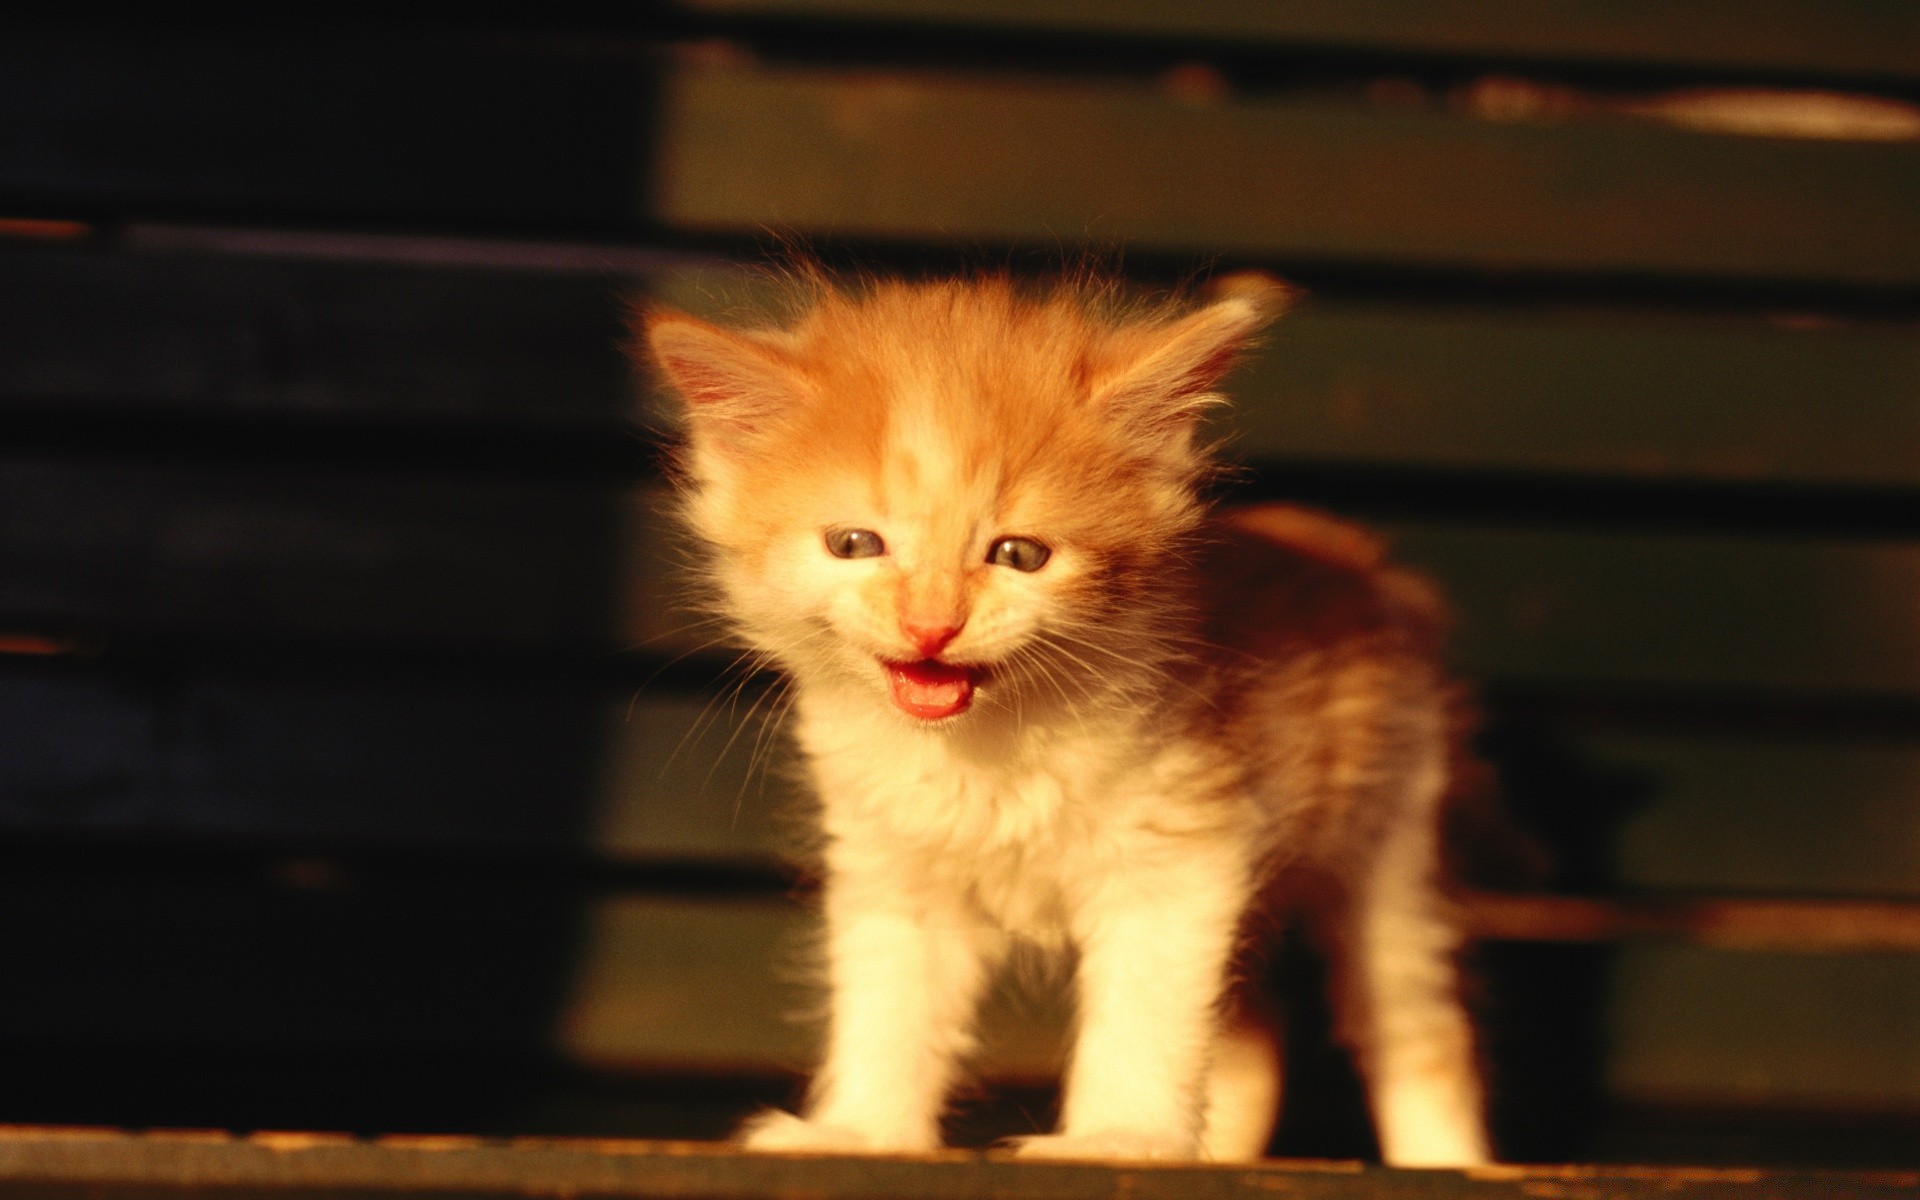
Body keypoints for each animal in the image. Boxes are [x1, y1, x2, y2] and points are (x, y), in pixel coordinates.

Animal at [637, 268, 1489, 1159]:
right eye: (854, 544)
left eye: (1019, 555)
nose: (931, 625)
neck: (987, 743)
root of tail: (1360, 562)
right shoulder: (895, 871)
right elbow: (890, 1013)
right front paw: (860, 1131)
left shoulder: (1182, 855)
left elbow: (1146, 1020)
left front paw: (1119, 1138)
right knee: (1254, 1042)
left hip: (1390, 845)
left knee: (1418, 1028)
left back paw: (1446, 1162)